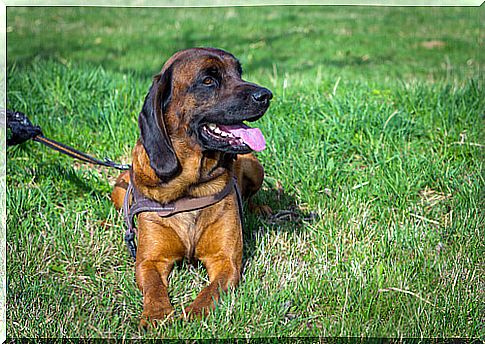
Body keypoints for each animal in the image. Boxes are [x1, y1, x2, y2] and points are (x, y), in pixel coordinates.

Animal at [110, 47, 272, 326]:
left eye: (239, 73)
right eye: (208, 80)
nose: (266, 95)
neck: (191, 186)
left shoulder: (226, 260)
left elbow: (211, 290)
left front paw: (195, 313)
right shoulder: (149, 261)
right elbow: (154, 286)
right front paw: (156, 314)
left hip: (254, 167)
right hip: (119, 189)